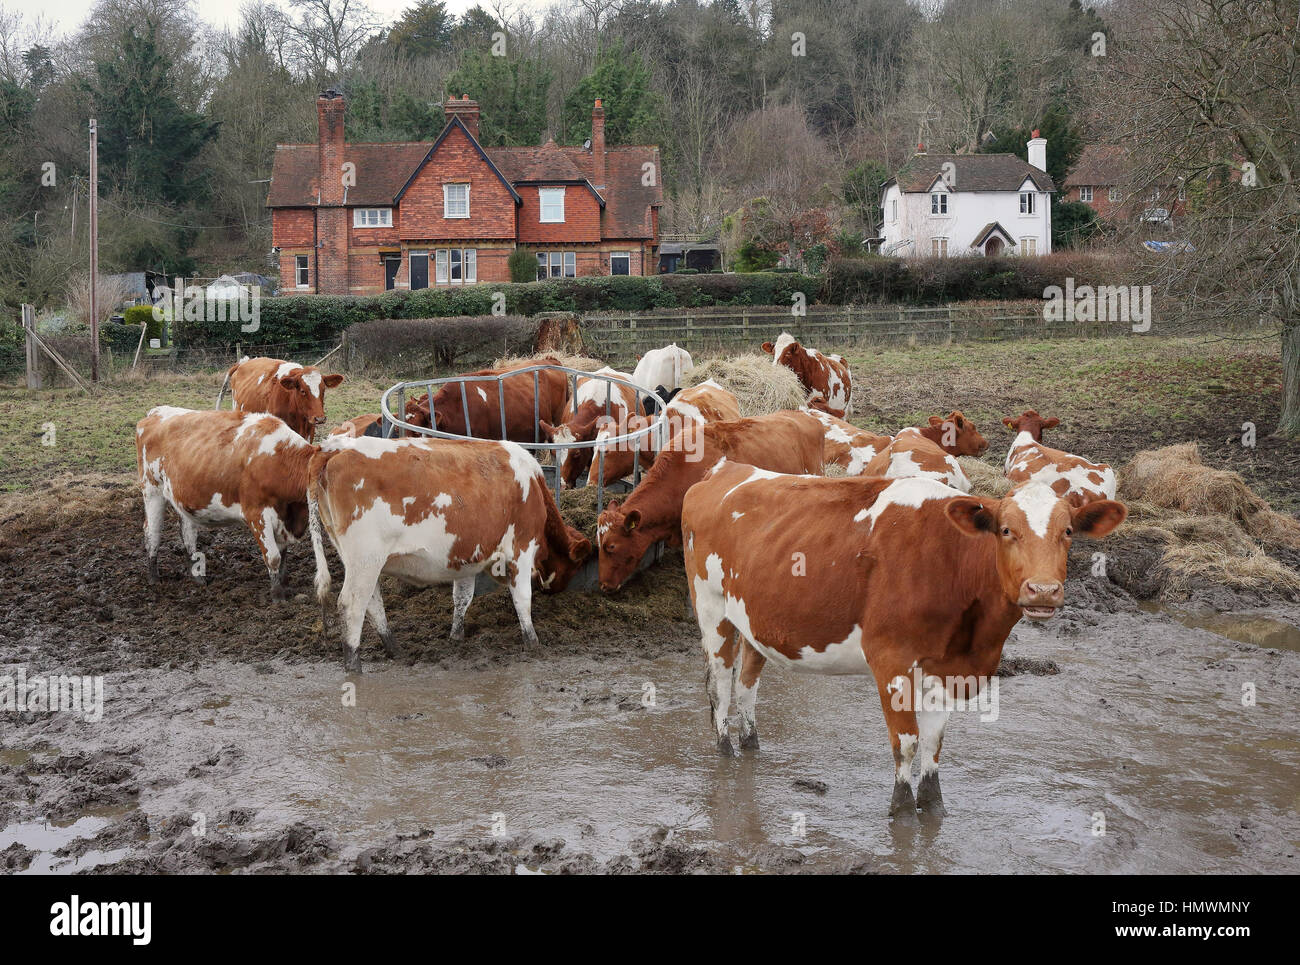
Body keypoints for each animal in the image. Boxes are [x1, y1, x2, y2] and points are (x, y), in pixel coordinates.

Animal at [135, 407, 317, 600]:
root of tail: (157, 411)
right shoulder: (256, 515)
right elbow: (273, 556)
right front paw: (277, 595)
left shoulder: (283, 518)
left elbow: (283, 555)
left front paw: (284, 586)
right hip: (152, 490)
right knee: (152, 531)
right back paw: (154, 578)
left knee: (188, 534)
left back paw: (198, 578)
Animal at [307, 435, 592, 671]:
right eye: (574, 567)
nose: (557, 593)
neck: (533, 486)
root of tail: (334, 447)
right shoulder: (521, 548)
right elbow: (522, 598)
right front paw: (532, 642)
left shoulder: (464, 556)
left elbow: (462, 597)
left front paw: (456, 636)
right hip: (365, 558)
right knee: (352, 605)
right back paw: (353, 665)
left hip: (359, 560)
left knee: (373, 603)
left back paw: (394, 649)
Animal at [681, 464, 1126, 818]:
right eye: (1005, 530)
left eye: (1067, 531)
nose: (1043, 590)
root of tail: (725, 470)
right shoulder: (890, 660)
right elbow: (907, 742)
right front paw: (902, 809)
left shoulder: (947, 670)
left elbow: (933, 742)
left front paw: (933, 806)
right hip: (712, 607)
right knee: (719, 684)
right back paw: (725, 749)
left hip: (755, 620)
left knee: (747, 683)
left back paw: (751, 744)